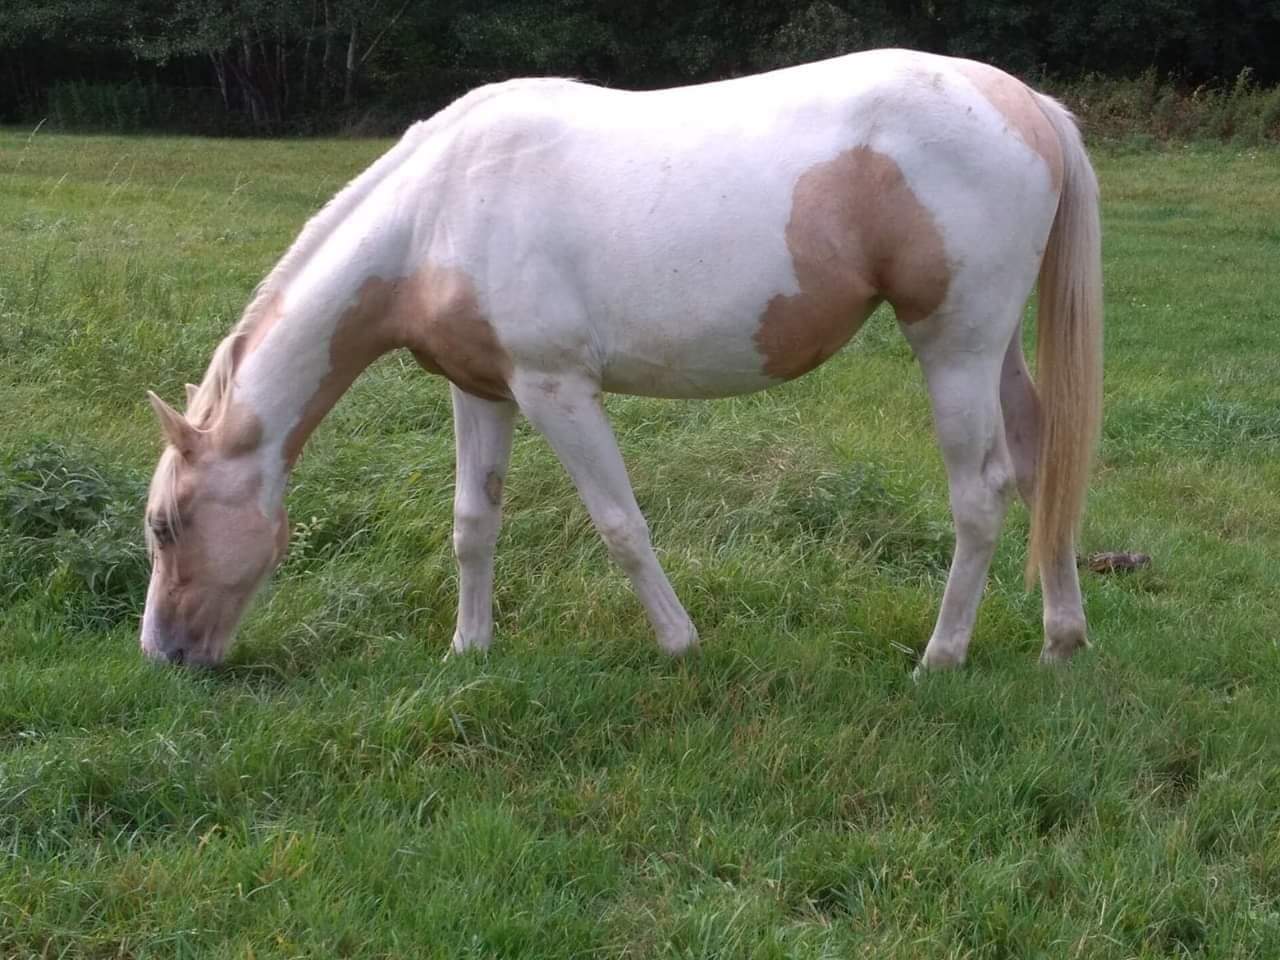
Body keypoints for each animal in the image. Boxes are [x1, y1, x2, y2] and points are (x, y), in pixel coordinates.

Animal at [137, 48, 1100, 670]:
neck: (438, 211)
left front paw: (679, 644)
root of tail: (1027, 104)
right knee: (1041, 463)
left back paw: (941, 655)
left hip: (955, 345)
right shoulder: (481, 391)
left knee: (982, 494)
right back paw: (1060, 639)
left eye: (166, 525)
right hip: (992, 349)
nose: (163, 655)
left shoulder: (555, 388)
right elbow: (474, 523)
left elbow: (620, 525)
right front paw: (468, 649)